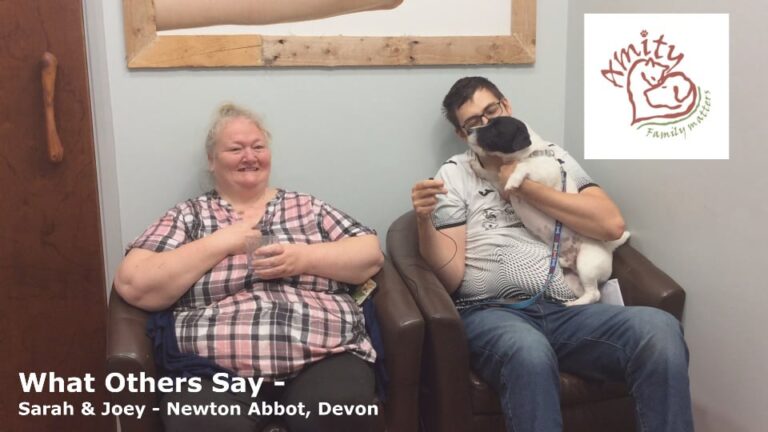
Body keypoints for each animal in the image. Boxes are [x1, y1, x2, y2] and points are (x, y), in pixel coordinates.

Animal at [467, 116, 629, 306]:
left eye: (494, 127)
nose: (469, 130)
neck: (529, 155)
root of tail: (609, 249)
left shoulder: (542, 179)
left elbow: (523, 168)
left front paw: (514, 178)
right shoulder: (500, 183)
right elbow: (491, 174)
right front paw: (478, 167)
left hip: (587, 264)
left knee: (594, 294)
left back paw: (572, 304)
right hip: (572, 278)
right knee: (587, 293)